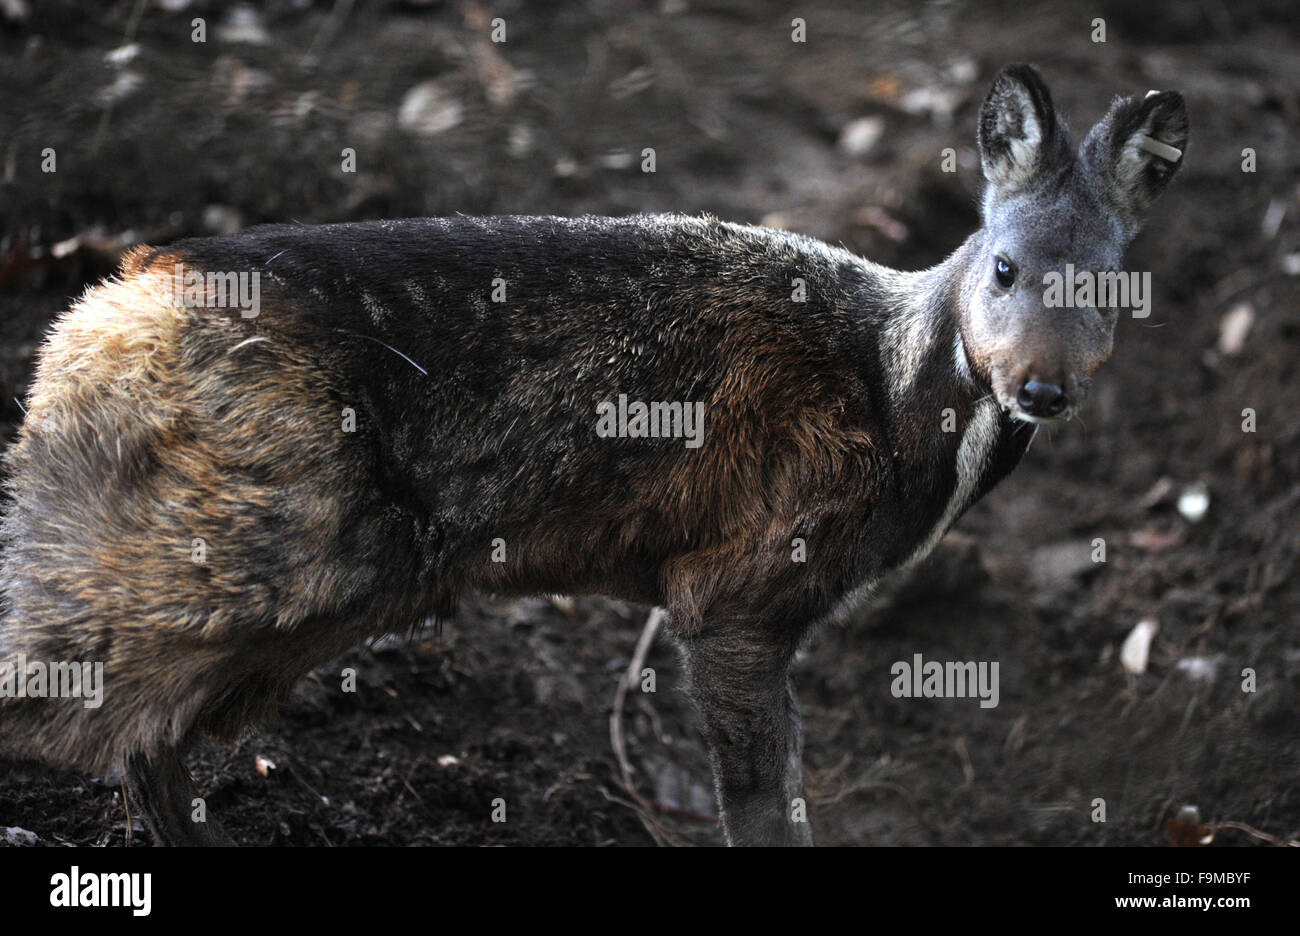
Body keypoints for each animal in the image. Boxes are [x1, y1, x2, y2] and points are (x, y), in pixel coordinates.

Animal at [0, 62, 1190, 842]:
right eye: (1002, 266)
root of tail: (76, 339)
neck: (897, 412)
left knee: (145, 732)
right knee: (68, 680)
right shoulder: (736, 584)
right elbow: (760, 801)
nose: (1042, 388)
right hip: (251, 548)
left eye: (1114, 285)